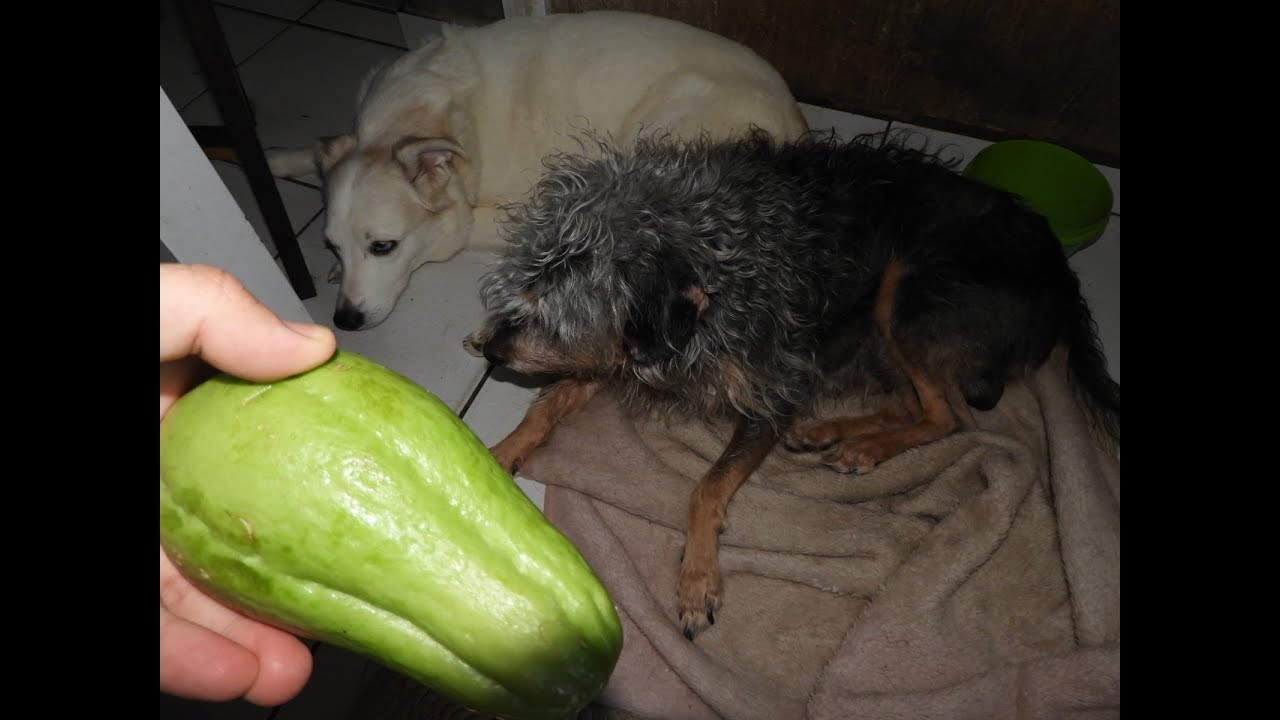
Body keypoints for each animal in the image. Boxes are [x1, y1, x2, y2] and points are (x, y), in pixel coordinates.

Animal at [266, 11, 808, 330]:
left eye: (384, 247)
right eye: (332, 243)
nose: (345, 321)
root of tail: (796, 118)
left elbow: (456, 229)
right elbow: (312, 152)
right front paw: (274, 157)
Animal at [464, 129, 1122, 639]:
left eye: (556, 316)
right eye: (522, 290)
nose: (490, 349)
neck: (709, 256)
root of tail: (1060, 272)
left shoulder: (772, 391)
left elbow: (707, 485)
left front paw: (697, 579)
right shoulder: (623, 358)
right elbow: (544, 411)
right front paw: (496, 456)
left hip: (904, 289)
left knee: (950, 414)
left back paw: (862, 446)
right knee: (913, 401)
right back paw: (835, 432)